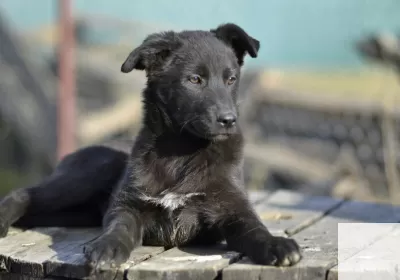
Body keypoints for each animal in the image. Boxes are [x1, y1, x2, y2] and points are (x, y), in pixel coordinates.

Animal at [0, 23, 302, 270]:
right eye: (194, 79)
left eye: (231, 79)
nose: (229, 120)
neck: (182, 151)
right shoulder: (128, 205)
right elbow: (119, 227)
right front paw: (106, 246)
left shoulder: (231, 208)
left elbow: (254, 228)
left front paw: (276, 244)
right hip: (87, 174)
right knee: (25, 193)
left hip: (79, 212)